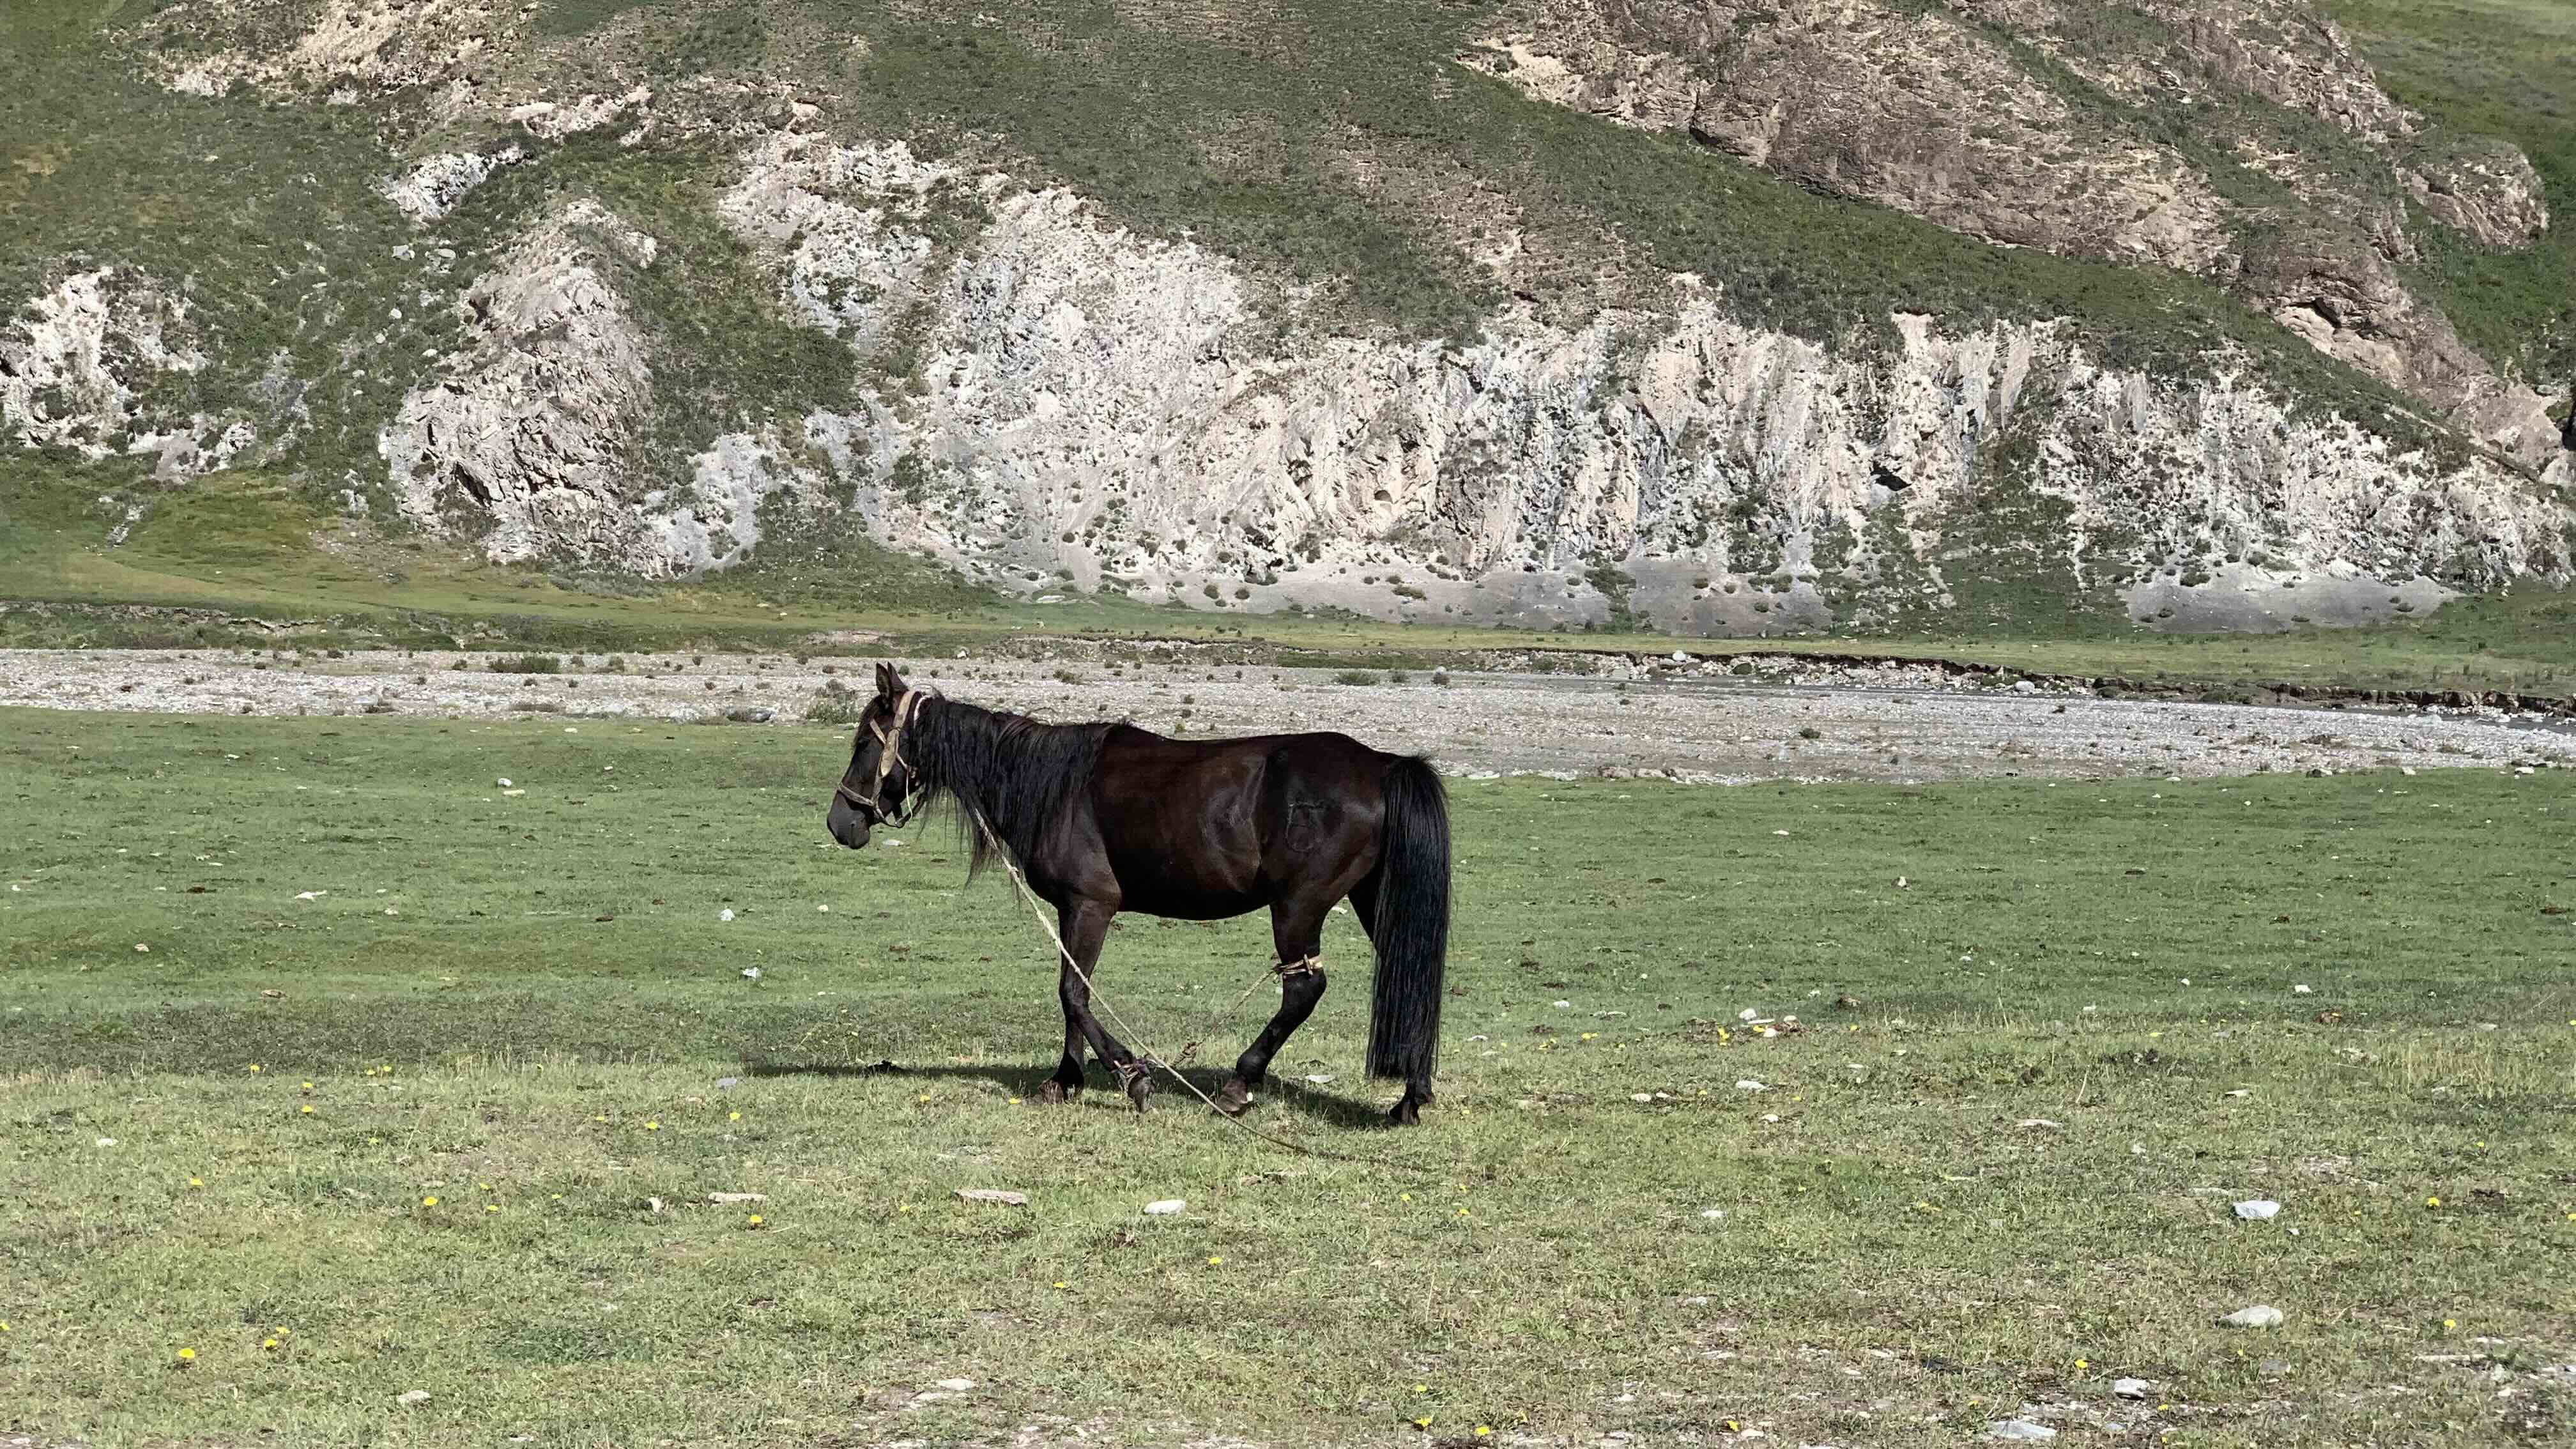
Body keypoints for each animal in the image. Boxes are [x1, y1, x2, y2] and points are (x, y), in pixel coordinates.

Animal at [822, 663, 1452, 1125]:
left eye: (863, 744)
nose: (840, 823)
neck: (1052, 783)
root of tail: (1382, 765)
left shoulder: (1091, 905)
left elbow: (1073, 994)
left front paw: (1130, 1075)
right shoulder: (1074, 911)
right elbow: (1073, 990)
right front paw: (1066, 1080)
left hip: (1297, 908)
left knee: (1303, 989)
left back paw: (1239, 1084)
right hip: (1372, 901)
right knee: (1411, 971)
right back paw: (1411, 1097)